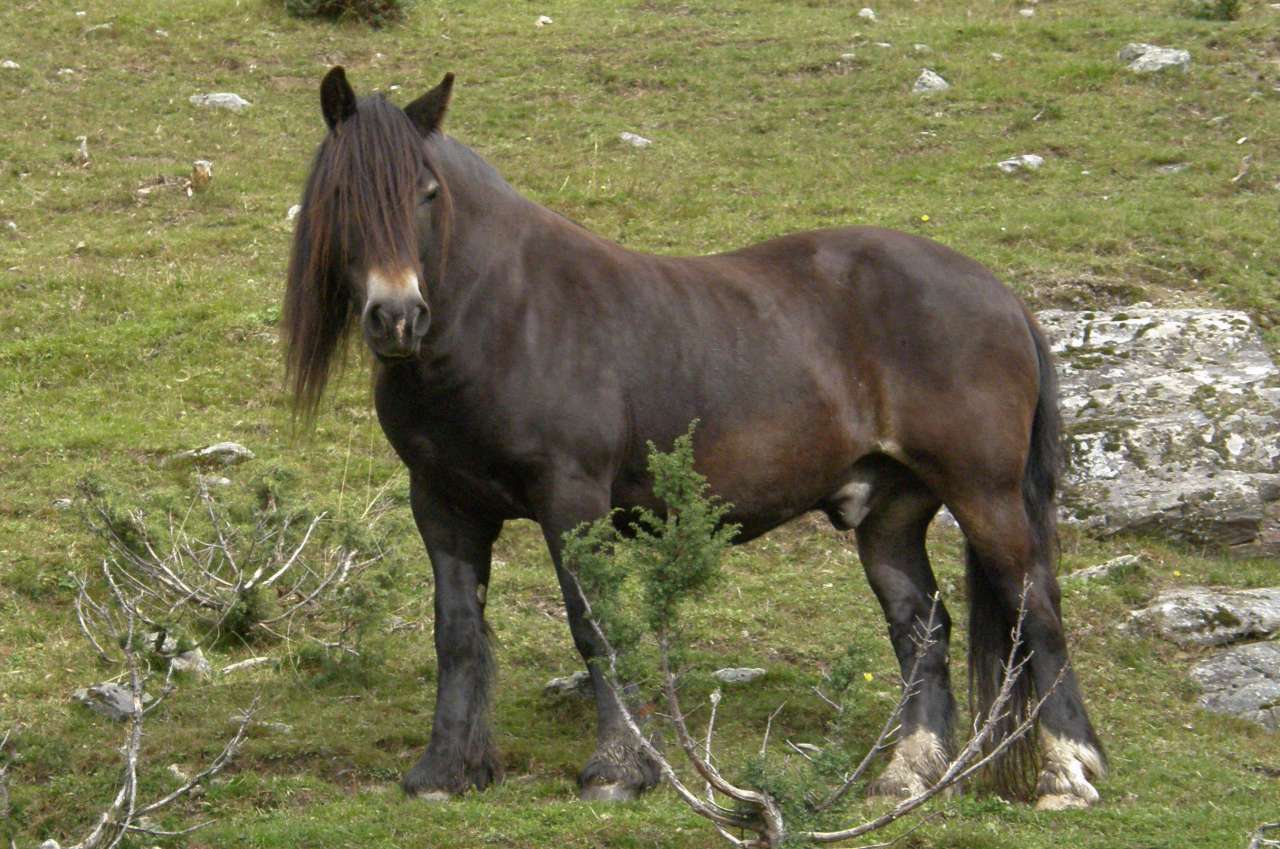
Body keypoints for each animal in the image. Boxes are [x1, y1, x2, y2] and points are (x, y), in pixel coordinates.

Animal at [285, 68, 1105, 809]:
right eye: (341, 197)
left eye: (426, 193)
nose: (397, 317)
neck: (506, 317)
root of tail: (1000, 294)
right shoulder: (444, 505)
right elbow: (456, 633)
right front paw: (443, 772)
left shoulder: (570, 499)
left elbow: (595, 627)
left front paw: (616, 769)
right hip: (891, 513)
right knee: (923, 629)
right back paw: (908, 775)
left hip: (984, 494)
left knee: (1036, 612)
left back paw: (1067, 771)